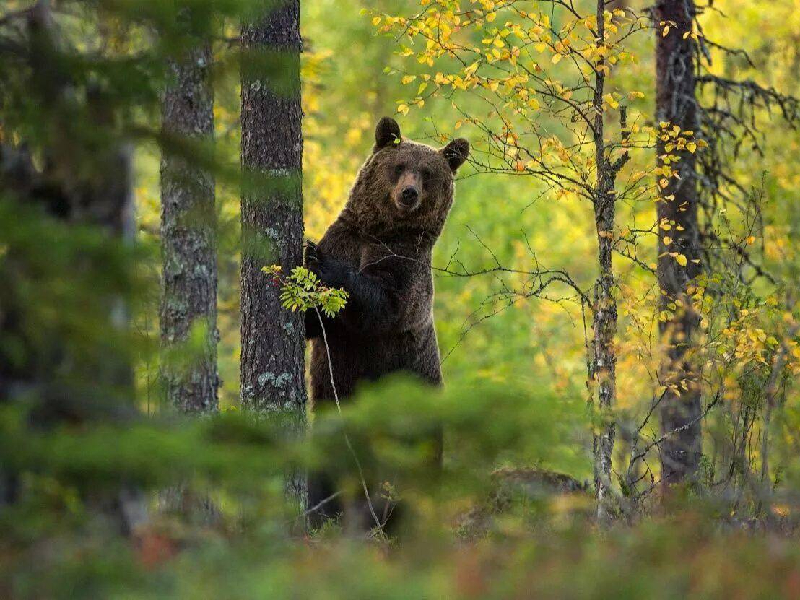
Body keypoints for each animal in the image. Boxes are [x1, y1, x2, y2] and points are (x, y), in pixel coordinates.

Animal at [304, 115, 468, 528]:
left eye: (427, 173)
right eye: (399, 165)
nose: (408, 194)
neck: (380, 232)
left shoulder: (406, 270)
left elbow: (381, 305)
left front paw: (318, 260)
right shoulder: (347, 237)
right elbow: (314, 324)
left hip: (412, 417)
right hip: (333, 417)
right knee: (324, 470)